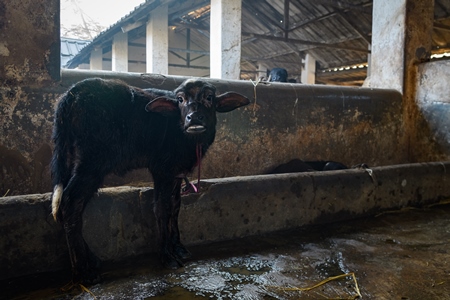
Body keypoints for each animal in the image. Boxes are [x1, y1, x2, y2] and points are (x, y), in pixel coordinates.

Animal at [51, 77, 251, 284]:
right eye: (180, 99)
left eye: (209, 97)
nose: (194, 118)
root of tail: (71, 94)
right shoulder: (162, 169)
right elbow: (162, 208)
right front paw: (167, 256)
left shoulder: (176, 173)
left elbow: (175, 207)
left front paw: (178, 247)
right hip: (92, 161)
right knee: (70, 203)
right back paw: (83, 272)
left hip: (71, 156)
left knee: (69, 206)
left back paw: (92, 260)